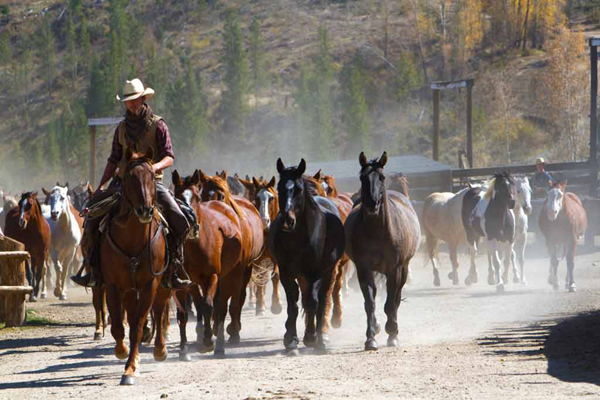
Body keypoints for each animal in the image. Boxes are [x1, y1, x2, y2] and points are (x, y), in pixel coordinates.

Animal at [99, 149, 171, 384]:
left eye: (152, 177)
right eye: (130, 178)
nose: (145, 211)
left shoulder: (150, 284)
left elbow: (138, 327)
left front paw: (130, 369)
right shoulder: (113, 286)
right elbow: (118, 326)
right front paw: (123, 352)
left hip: (162, 284)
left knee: (159, 310)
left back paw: (160, 349)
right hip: (130, 289)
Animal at [172, 170, 247, 360]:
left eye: (197, 197)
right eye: (176, 196)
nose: (189, 222)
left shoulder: (212, 276)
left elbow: (208, 306)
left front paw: (207, 342)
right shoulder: (184, 281)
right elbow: (186, 311)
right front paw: (184, 349)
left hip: (231, 276)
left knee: (221, 307)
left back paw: (219, 345)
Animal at [239, 177, 284, 318]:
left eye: (272, 198)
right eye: (256, 198)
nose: (264, 220)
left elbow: (276, 276)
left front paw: (276, 304)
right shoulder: (257, 259)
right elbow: (259, 278)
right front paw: (260, 306)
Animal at [268, 159, 344, 354]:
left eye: (299, 189)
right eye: (279, 187)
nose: (288, 220)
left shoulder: (316, 272)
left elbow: (313, 301)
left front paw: (311, 337)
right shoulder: (286, 272)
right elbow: (293, 303)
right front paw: (291, 339)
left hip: (328, 272)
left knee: (322, 299)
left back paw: (321, 337)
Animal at [342, 152, 422, 350]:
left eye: (382, 177)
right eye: (362, 177)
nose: (372, 204)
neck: (377, 232)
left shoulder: (395, 270)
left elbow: (391, 303)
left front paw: (392, 332)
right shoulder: (363, 269)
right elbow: (370, 303)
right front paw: (371, 337)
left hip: (404, 268)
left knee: (396, 298)